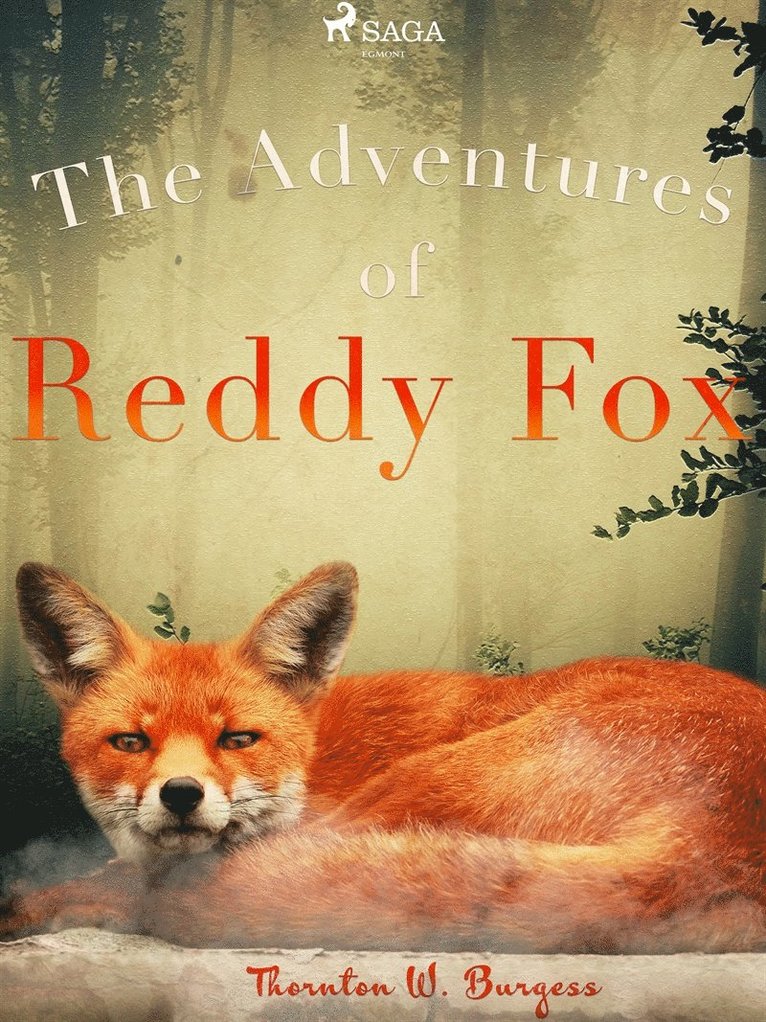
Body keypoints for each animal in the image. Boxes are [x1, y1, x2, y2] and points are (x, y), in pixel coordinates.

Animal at [1, 559, 765, 952]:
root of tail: (707, 844)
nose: (182, 794)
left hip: (418, 782)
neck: (316, 761)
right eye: (131, 742)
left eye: (238, 738)